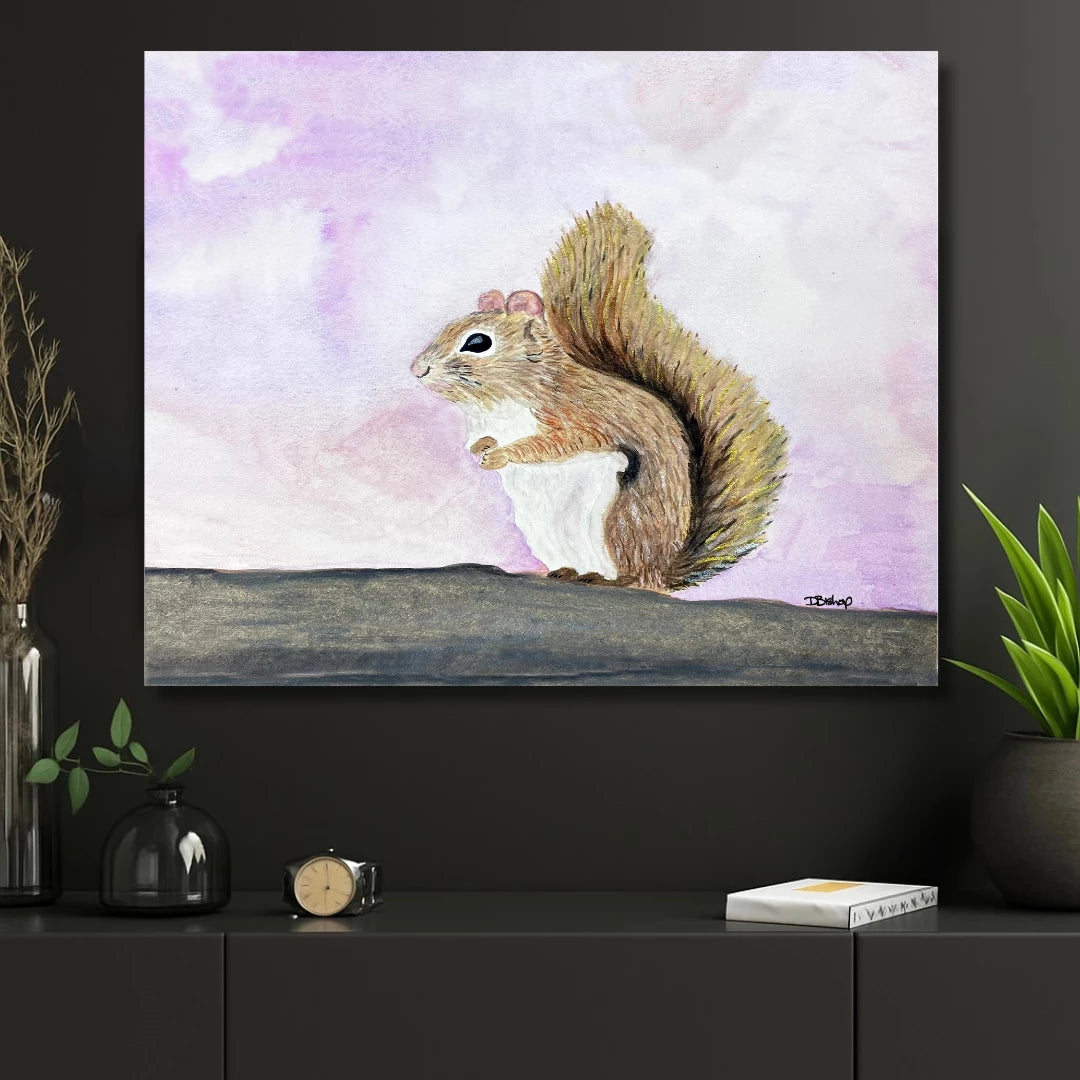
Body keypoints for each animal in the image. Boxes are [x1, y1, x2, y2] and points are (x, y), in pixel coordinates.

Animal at [410, 202, 788, 592]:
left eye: (477, 342)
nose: (417, 368)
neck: (501, 404)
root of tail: (664, 572)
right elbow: (482, 439)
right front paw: (479, 448)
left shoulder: (581, 416)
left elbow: (561, 443)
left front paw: (503, 455)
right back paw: (565, 573)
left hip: (620, 521)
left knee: (632, 576)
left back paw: (608, 579)